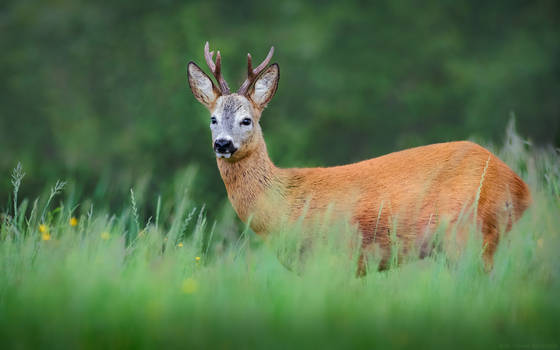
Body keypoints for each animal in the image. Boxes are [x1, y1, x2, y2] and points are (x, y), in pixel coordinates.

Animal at [186, 41, 532, 274]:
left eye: (247, 120)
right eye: (213, 119)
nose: (223, 144)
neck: (285, 200)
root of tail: (521, 186)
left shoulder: (336, 254)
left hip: (469, 234)